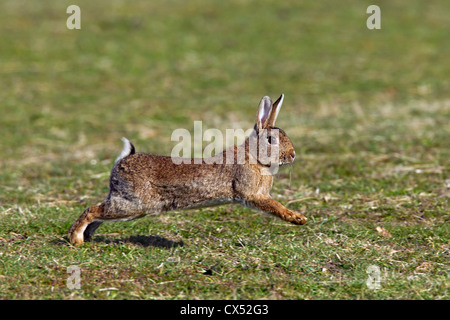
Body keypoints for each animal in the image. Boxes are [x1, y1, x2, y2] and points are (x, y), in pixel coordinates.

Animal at [68, 94, 308, 245]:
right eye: (271, 140)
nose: (293, 155)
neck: (255, 158)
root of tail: (125, 159)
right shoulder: (252, 194)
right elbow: (276, 207)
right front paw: (298, 219)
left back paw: (88, 239)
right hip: (133, 204)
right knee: (91, 210)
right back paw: (76, 240)